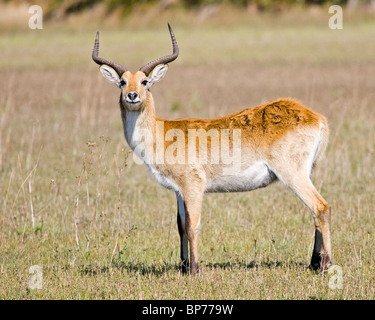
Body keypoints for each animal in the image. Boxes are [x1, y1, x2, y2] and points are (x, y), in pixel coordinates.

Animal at [91, 24, 332, 276]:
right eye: (122, 82)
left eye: (145, 81)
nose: (132, 95)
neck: (161, 132)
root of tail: (316, 117)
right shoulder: (179, 191)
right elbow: (180, 225)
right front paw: (183, 266)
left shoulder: (193, 186)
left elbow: (192, 225)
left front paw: (195, 269)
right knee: (315, 211)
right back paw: (314, 263)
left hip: (293, 174)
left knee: (321, 207)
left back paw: (325, 264)